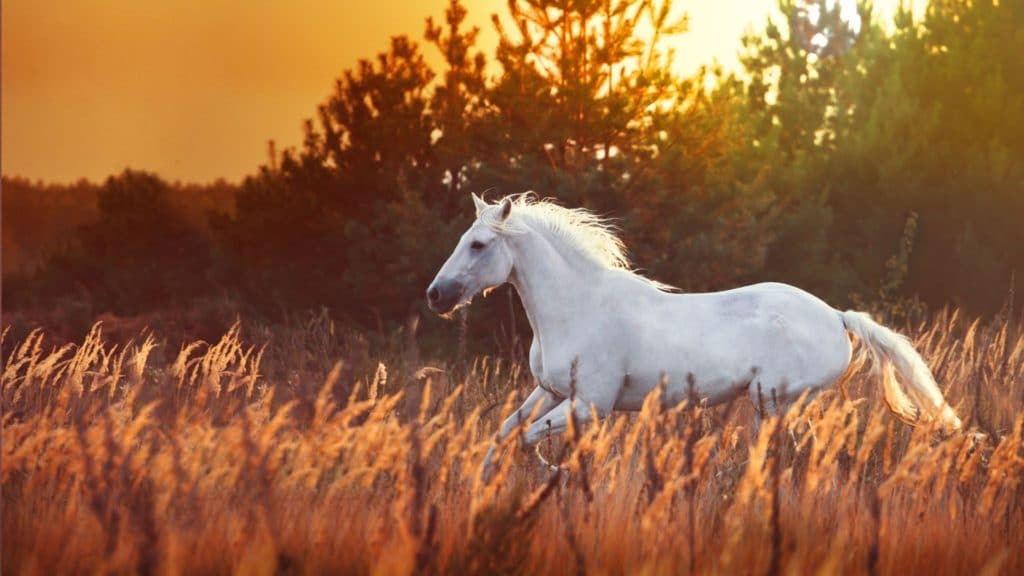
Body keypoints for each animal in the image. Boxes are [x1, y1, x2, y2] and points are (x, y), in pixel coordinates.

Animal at [423, 192, 958, 471]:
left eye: (478, 244)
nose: (436, 295)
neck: (578, 308)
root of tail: (837, 316)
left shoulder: (591, 404)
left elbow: (529, 438)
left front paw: (555, 474)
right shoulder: (550, 391)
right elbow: (505, 432)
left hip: (775, 401)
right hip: (771, 407)